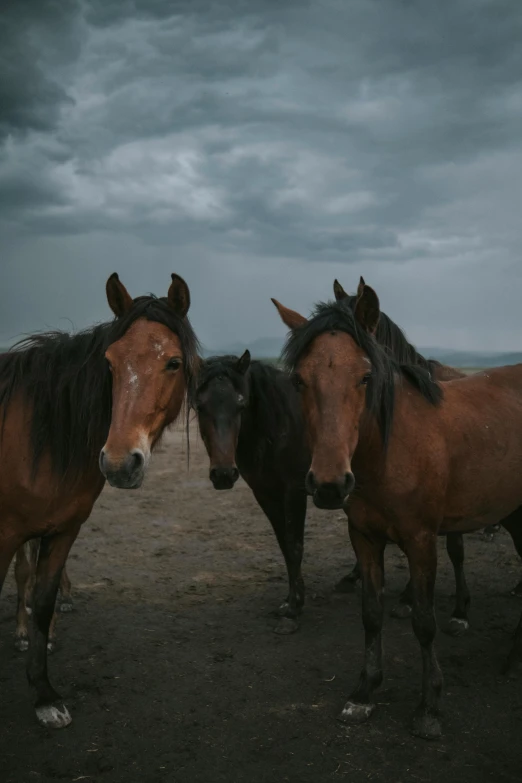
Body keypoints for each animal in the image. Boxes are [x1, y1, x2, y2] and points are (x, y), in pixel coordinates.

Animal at [0, 274, 199, 728]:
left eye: (173, 363)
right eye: (109, 363)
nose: (120, 462)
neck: (36, 438)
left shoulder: (62, 531)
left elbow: (43, 602)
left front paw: (44, 695)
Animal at [194, 352, 308, 632]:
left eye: (241, 405)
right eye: (200, 407)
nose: (223, 474)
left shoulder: (295, 491)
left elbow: (295, 545)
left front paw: (295, 608)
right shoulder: (265, 493)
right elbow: (284, 545)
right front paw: (289, 601)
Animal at [270, 284, 520, 740]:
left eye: (365, 377)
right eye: (299, 380)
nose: (330, 484)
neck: (392, 449)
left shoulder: (422, 541)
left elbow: (424, 621)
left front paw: (429, 705)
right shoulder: (364, 538)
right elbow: (371, 614)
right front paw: (365, 691)